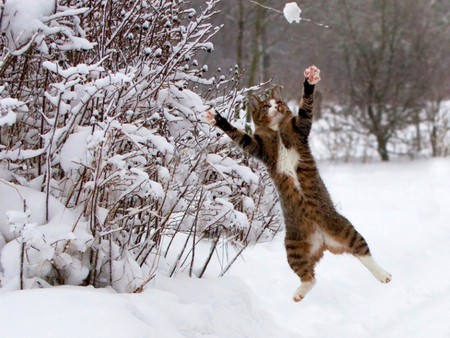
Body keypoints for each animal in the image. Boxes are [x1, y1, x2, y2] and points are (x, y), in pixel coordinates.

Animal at [205, 65, 390, 302]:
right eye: (266, 106)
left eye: (279, 102)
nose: (276, 105)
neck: (277, 130)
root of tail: (323, 242)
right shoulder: (259, 148)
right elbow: (240, 136)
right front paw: (218, 119)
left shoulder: (300, 128)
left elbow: (306, 108)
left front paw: (310, 80)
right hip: (293, 249)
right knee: (309, 277)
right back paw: (299, 293)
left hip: (344, 228)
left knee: (363, 252)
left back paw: (384, 275)